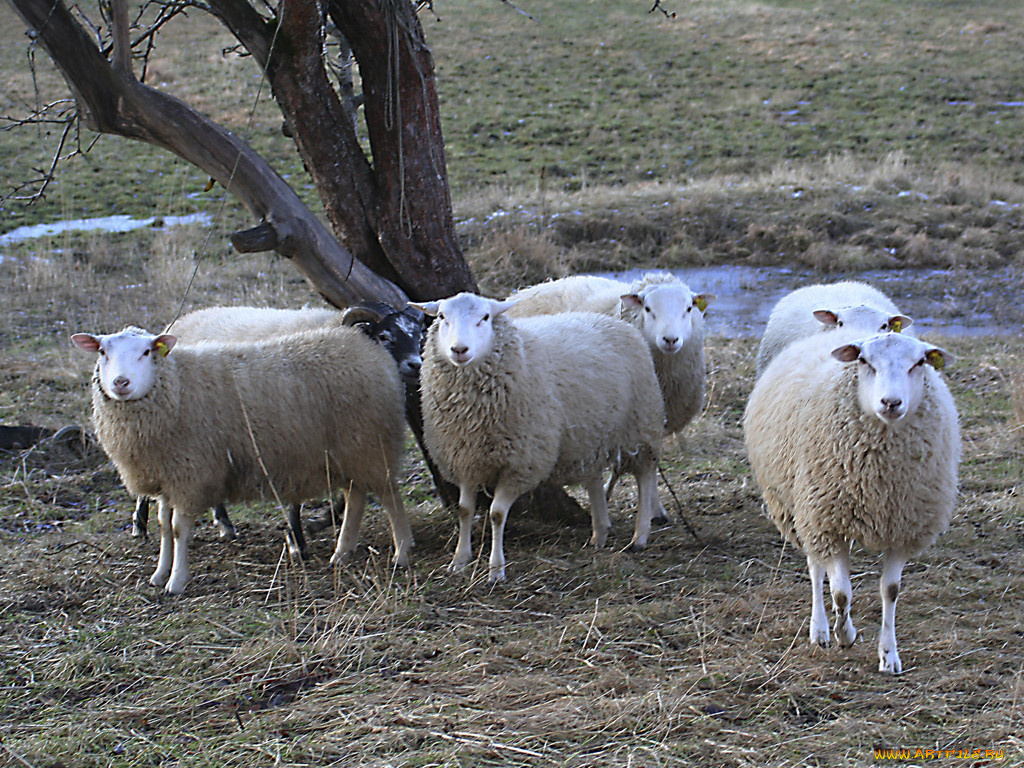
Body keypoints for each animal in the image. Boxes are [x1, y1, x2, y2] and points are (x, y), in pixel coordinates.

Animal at [69, 325, 415, 593]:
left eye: (145, 352)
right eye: (102, 352)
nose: (121, 383)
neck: (176, 386)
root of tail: (370, 347)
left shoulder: (191, 473)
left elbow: (178, 529)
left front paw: (176, 581)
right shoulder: (168, 474)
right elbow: (163, 526)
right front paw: (159, 573)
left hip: (371, 443)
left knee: (390, 495)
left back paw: (402, 552)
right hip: (348, 450)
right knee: (355, 496)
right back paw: (342, 553)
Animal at [132, 303, 428, 548]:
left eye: (418, 336)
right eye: (385, 336)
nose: (416, 364)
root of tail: (184, 320)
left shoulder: (344, 439)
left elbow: (347, 495)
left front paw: (320, 522)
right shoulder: (295, 436)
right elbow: (298, 497)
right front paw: (296, 539)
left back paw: (224, 524)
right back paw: (140, 524)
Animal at [411, 292, 667, 581]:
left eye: (485, 317)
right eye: (442, 316)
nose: (459, 350)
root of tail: (615, 322)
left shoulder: (522, 462)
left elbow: (496, 514)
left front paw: (496, 569)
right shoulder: (465, 457)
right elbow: (465, 510)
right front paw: (459, 559)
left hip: (641, 424)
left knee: (645, 475)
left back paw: (640, 536)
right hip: (590, 434)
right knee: (594, 479)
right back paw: (600, 532)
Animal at [503, 274, 712, 528]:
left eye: (689, 308)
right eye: (648, 308)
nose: (670, 340)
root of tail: (524, 291)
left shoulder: (649, 415)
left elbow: (649, 461)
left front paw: (654, 509)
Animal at [745, 331, 958, 671]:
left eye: (919, 363)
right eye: (865, 361)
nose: (891, 402)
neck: (880, 481)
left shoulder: (902, 528)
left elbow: (891, 590)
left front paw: (889, 656)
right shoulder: (827, 523)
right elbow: (841, 593)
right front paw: (845, 635)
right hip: (802, 510)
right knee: (816, 568)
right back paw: (820, 629)